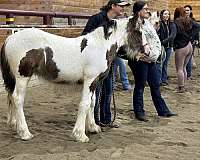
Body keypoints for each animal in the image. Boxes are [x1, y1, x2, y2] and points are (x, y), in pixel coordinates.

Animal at [0, 17, 144, 142]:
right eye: (139, 31)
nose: (144, 52)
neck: (100, 46)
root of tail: (10, 38)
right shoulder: (90, 80)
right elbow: (85, 104)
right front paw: (80, 135)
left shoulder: (95, 82)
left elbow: (92, 102)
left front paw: (93, 127)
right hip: (22, 77)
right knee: (17, 98)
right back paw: (25, 133)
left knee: (11, 96)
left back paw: (15, 125)